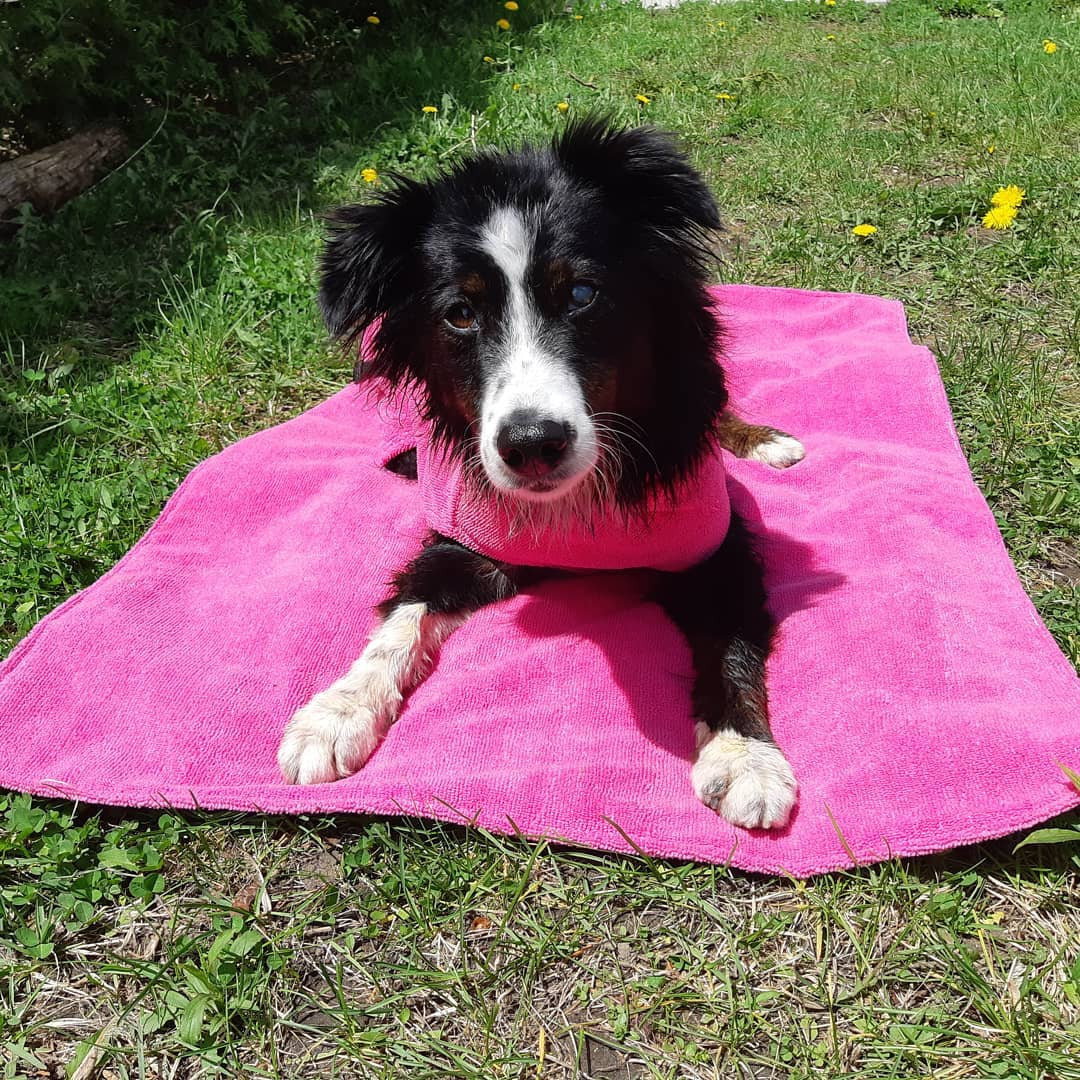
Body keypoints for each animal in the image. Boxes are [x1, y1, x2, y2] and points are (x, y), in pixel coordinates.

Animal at [276, 116, 803, 825]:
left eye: (581, 292)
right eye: (460, 313)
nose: (532, 444)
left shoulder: (714, 545)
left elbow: (731, 644)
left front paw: (745, 757)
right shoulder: (467, 544)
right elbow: (402, 616)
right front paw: (334, 714)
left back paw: (765, 440)